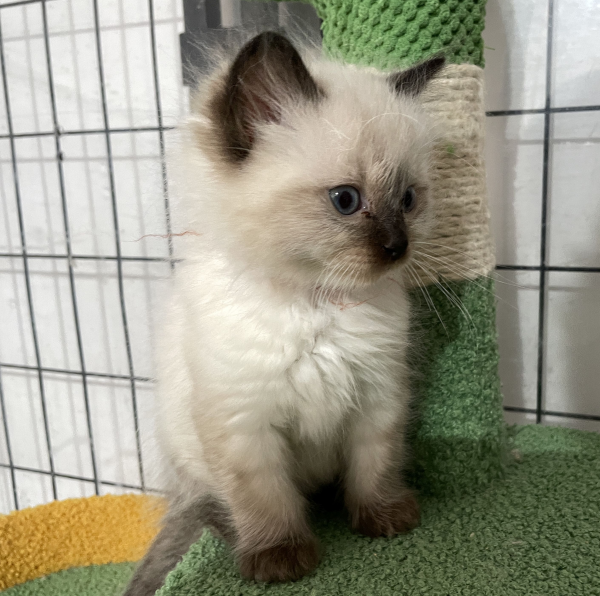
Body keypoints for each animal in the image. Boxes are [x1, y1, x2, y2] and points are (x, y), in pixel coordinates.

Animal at [124, 31, 442, 592]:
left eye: (407, 200)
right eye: (345, 200)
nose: (397, 247)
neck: (316, 301)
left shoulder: (378, 400)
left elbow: (374, 469)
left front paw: (384, 519)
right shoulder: (244, 424)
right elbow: (265, 500)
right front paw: (281, 559)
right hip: (190, 456)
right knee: (209, 504)